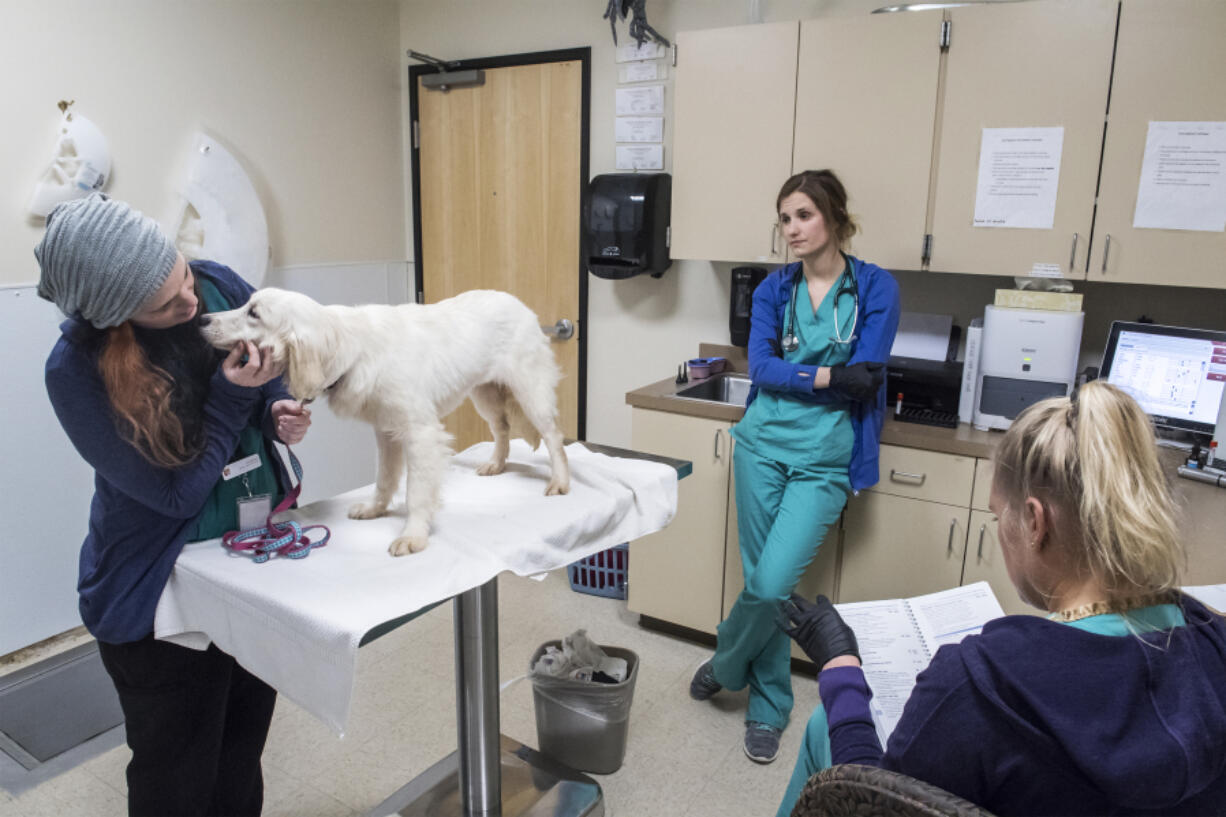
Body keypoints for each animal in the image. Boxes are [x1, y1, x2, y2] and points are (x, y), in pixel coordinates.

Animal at [203, 285, 571, 554]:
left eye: (253, 313)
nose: (203, 319)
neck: (351, 348)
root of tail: (520, 305)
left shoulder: (420, 433)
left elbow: (415, 492)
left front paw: (414, 536)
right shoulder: (386, 431)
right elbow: (385, 478)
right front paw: (375, 509)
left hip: (530, 392)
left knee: (554, 437)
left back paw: (560, 482)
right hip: (485, 396)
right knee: (502, 429)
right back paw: (496, 464)